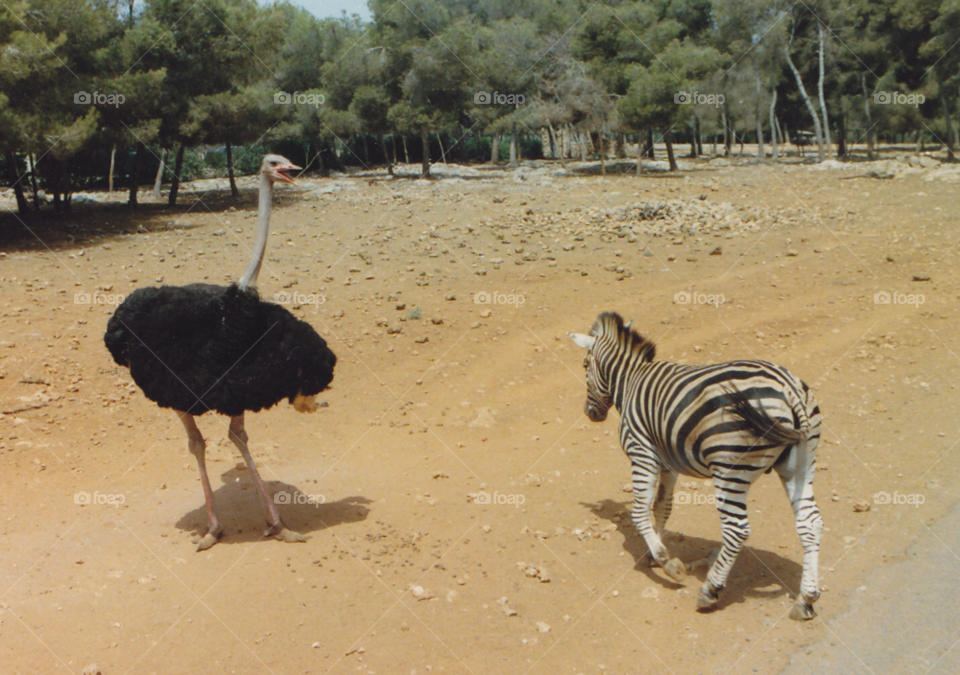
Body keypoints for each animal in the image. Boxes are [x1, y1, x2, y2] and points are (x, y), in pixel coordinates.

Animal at [569, 312, 823, 620]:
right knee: (810, 522)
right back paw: (806, 599)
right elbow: (662, 507)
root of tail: (790, 389)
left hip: (729, 467)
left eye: (585, 365)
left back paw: (710, 591)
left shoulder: (641, 452)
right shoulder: (668, 461)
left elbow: (640, 511)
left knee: (737, 529)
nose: (590, 414)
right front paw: (654, 551)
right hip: (800, 462)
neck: (630, 381)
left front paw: (667, 563)